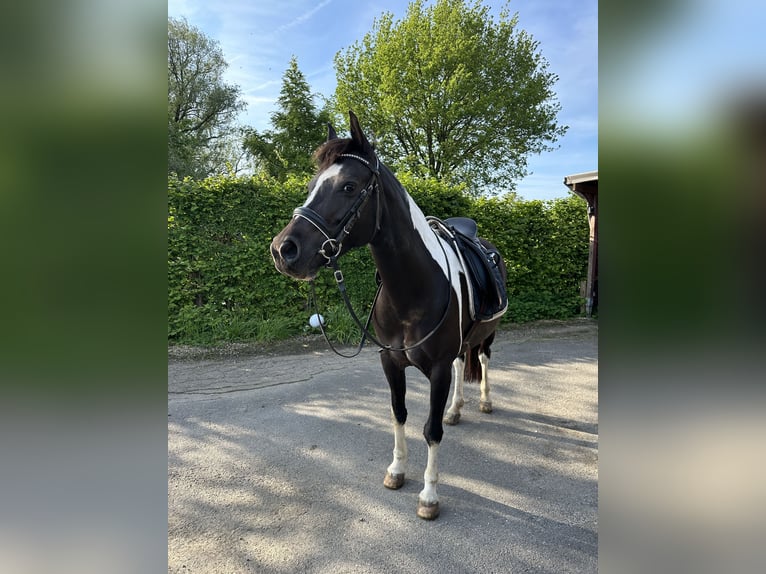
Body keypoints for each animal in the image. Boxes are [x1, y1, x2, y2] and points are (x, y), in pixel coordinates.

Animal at [272, 110, 510, 520]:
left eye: (349, 186)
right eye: (311, 185)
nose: (283, 250)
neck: (413, 291)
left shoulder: (436, 369)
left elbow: (431, 429)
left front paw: (429, 495)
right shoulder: (389, 362)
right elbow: (398, 413)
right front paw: (397, 470)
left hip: (489, 334)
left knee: (482, 359)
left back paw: (484, 402)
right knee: (463, 363)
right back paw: (456, 409)